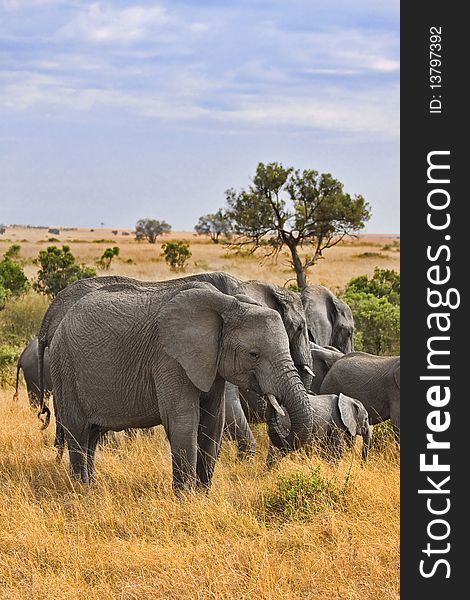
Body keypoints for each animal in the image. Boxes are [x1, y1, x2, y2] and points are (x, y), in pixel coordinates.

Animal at [47, 282, 314, 492]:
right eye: (254, 354)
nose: (273, 405)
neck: (227, 304)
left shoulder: (211, 364)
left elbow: (213, 422)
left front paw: (203, 495)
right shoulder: (169, 358)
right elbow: (184, 420)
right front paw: (185, 499)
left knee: (92, 435)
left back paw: (91, 485)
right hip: (64, 367)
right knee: (78, 433)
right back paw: (81, 489)